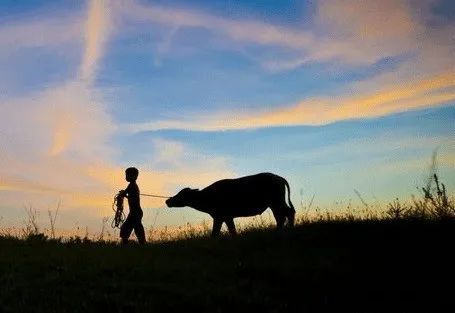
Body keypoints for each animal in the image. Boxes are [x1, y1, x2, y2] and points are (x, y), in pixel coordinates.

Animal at [165, 172, 296, 235]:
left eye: (181, 194)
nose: (167, 201)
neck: (207, 197)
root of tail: (279, 177)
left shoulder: (220, 217)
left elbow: (215, 233)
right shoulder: (226, 218)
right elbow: (231, 231)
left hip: (277, 201)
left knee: (288, 213)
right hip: (274, 204)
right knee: (281, 216)